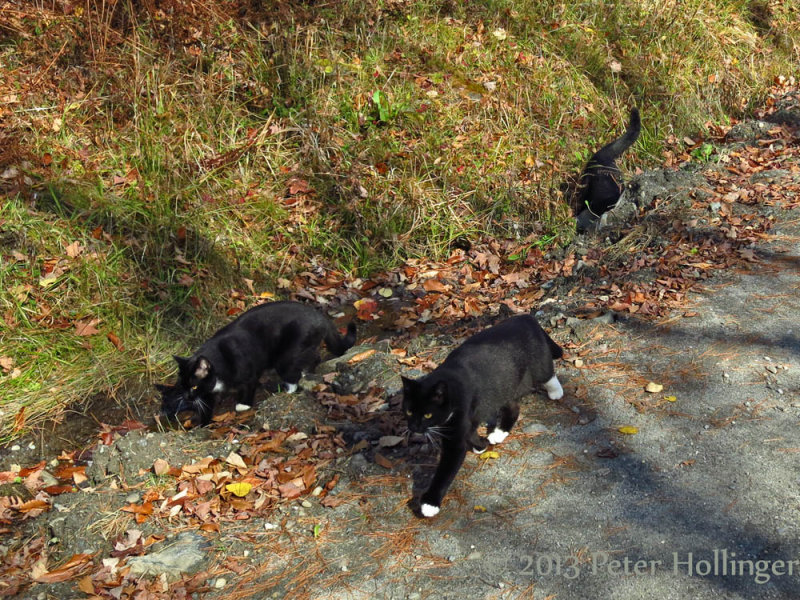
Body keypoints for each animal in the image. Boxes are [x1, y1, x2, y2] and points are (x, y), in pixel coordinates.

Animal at [157, 300, 356, 426]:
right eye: (182, 387)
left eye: (194, 386)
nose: (187, 397)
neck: (220, 359)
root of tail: (320, 317)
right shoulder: (209, 390)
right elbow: (207, 403)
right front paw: (203, 422)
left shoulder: (247, 372)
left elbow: (248, 386)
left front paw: (242, 405)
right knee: (314, 358)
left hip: (287, 355)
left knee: (292, 373)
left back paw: (287, 389)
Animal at [400, 314, 564, 516]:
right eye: (409, 411)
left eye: (428, 415)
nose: (413, 427)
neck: (450, 385)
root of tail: (525, 317)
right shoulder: (468, 417)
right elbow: (471, 431)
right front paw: (480, 445)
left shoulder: (458, 430)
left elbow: (447, 466)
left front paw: (430, 503)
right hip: (503, 385)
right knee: (513, 407)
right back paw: (498, 433)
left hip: (537, 361)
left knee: (548, 374)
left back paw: (556, 391)